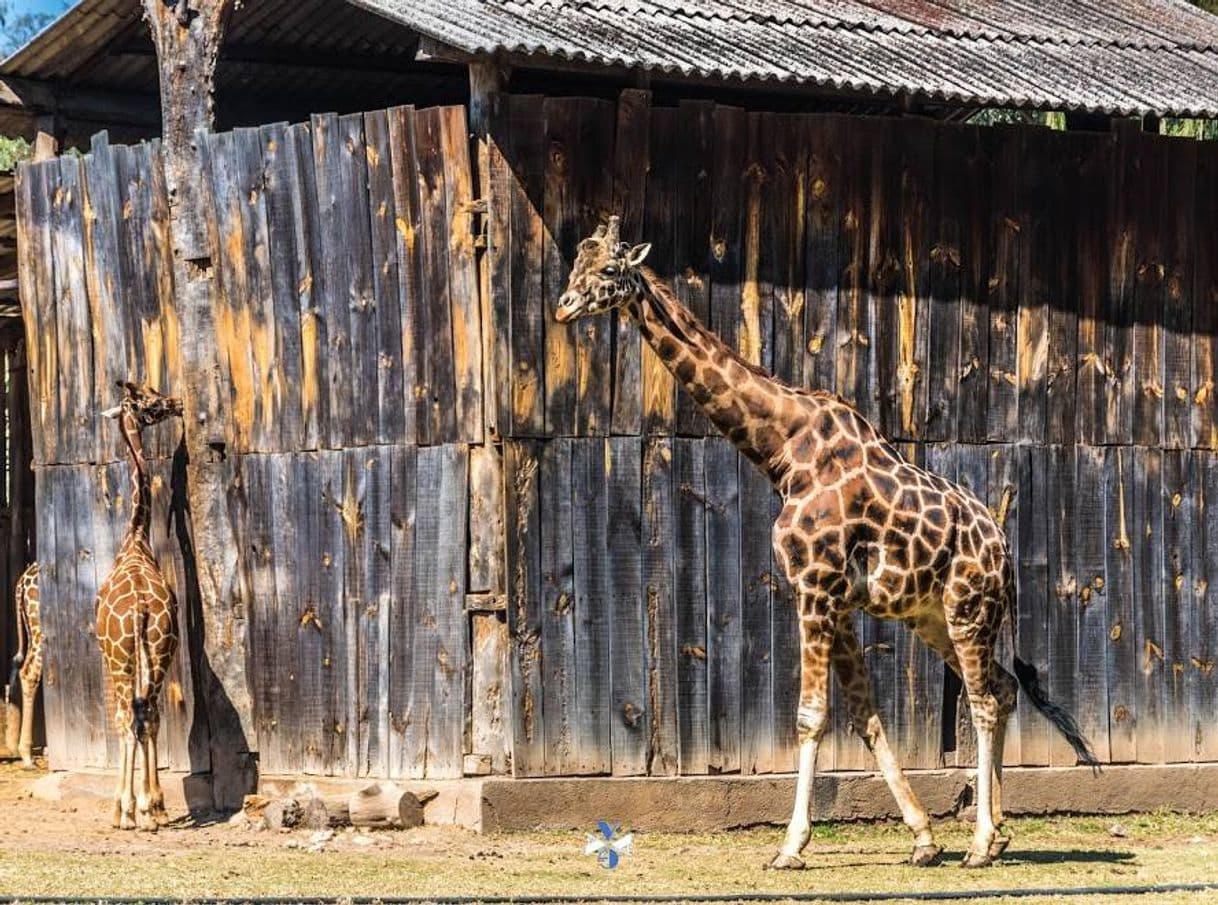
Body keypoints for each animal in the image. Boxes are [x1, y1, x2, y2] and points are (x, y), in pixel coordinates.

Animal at [557, 219, 1101, 872]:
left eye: (611, 270)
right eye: (575, 264)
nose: (563, 306)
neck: (782, 450)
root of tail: (1005, 552)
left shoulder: (815, 588)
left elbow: (811, 717)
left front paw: (791, 846)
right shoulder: (835, 599)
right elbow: (867, 717)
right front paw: (922, 838)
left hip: (969, 610)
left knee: (984, 701)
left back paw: (978, 844)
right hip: (934, 617)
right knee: (1002, 685)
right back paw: (997, 834)